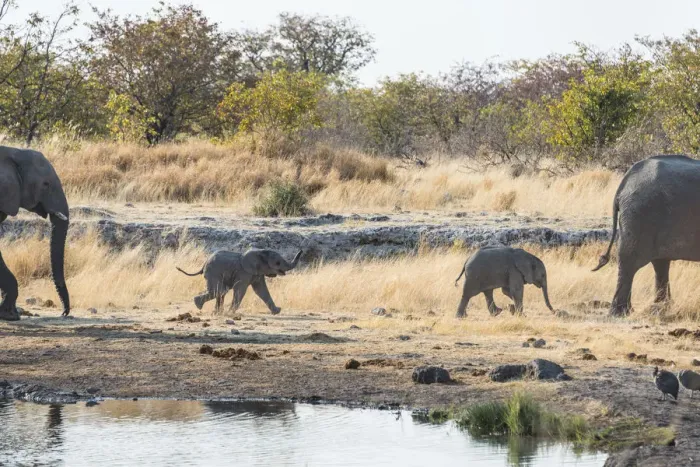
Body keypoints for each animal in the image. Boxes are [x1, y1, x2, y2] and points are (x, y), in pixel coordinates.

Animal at [593, 154, 700, 317]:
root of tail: (624, 183)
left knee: (660, 263)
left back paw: (660, 307)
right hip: (641, 215)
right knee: (629, 260)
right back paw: (621, 312)